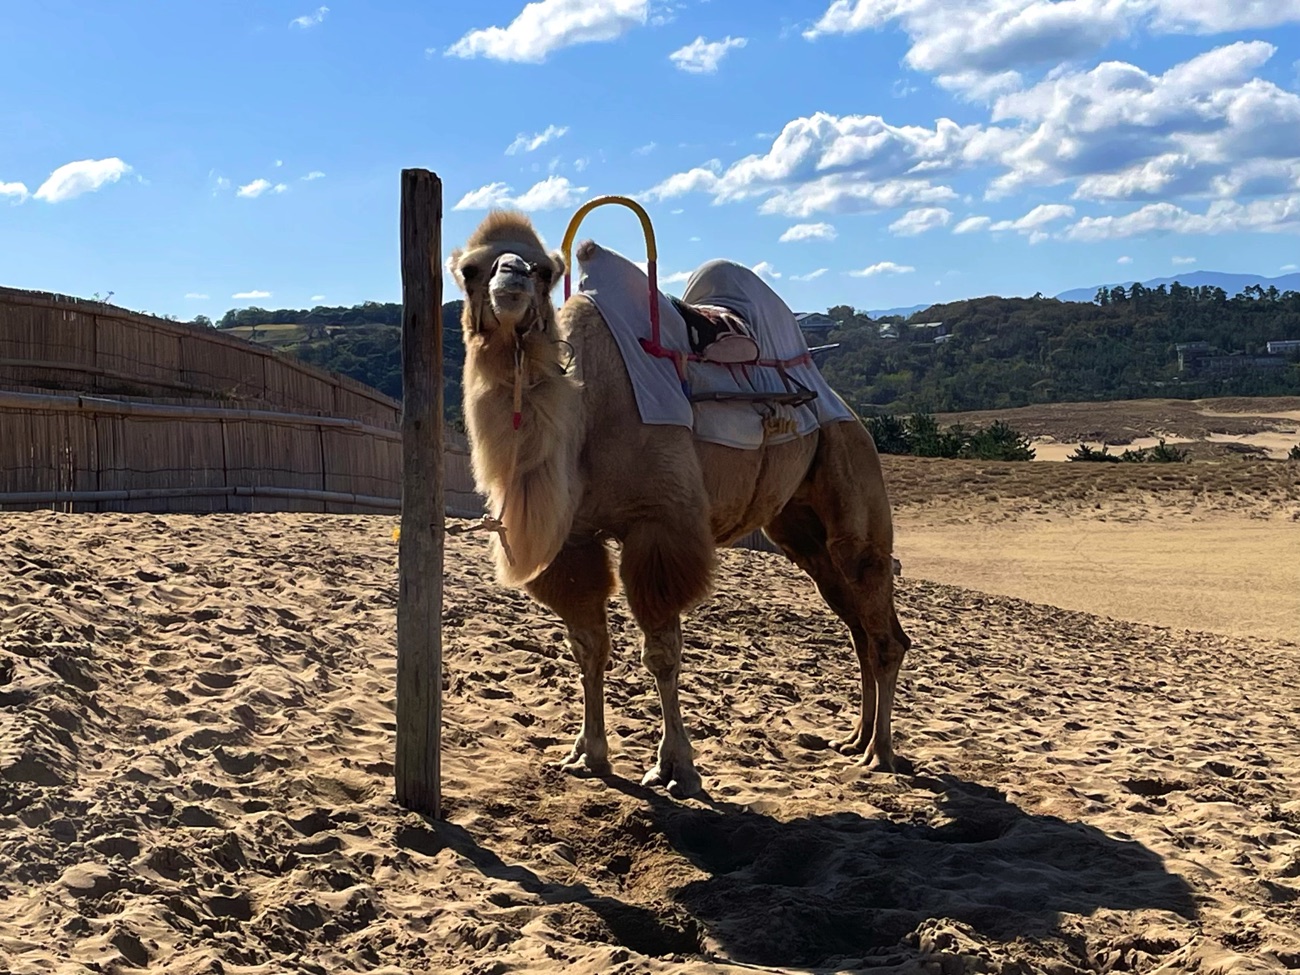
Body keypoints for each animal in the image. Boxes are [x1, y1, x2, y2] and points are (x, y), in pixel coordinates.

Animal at [452, 210, 909, 795]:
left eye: (543, 271)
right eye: (470, 269)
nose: (509, 279)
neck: (585, 414)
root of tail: (839, 402)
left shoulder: (660, 527)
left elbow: (663, 655)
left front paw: (676, 768)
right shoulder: (573, 539)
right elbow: (588, 646)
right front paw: (587, 756)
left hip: (850, 464)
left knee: (881, 621)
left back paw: (880, 754)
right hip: (800, 530)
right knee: (857, 626)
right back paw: (855, 739)